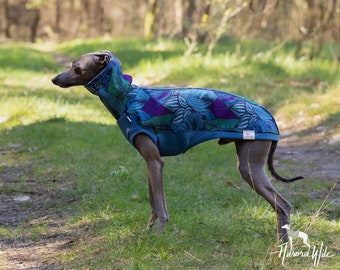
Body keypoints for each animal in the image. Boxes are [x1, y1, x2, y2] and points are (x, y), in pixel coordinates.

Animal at [51, 50, 302, 243]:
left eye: (76, 67)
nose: (54, 80)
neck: (126, 98)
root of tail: (270, 116)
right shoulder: (149, 163)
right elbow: (154, 204)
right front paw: (148, 232)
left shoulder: (155, 162)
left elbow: (160, 207)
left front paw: (158, 237)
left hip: (250, 167)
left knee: (284, 205)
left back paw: (282, 244)